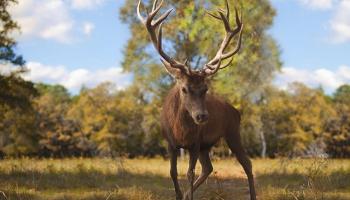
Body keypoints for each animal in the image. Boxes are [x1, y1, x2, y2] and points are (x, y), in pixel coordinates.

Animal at [137, 0, 258, 200]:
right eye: (184, 88)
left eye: (205, 89)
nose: (202, 117)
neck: (181, 133)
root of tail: (235, 110)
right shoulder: (170, 142)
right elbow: (173, 172)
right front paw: (180, 196)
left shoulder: (195, 142)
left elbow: (189, 174)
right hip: (207, 146)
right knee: (208, 167)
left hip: (232, 131)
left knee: (247, 163)